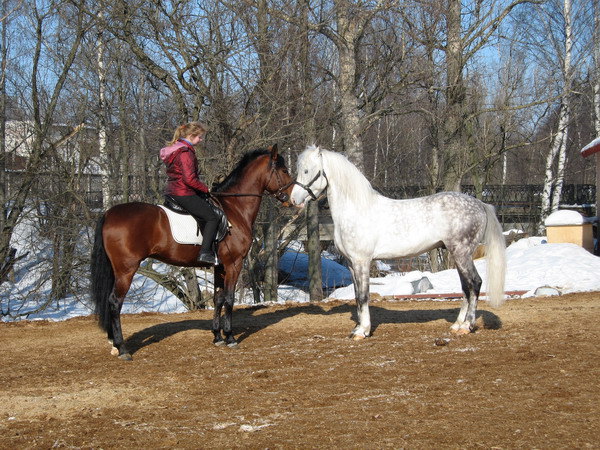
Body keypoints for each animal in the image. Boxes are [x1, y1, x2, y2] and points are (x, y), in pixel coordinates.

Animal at [90, 144, 294, 358]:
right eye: (284, 170)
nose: (290, 198)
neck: (235, 209)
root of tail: (109, 213)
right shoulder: (234, 264)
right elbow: (229, 299)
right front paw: (230, 337)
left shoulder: (219, 266)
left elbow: (218, 298)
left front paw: (217, 336)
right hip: (126, 270)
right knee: (115, 302)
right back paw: (122, 348)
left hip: (117, 270)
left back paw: (114, 343)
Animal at [290, 146, 506, 340]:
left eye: (307, 170)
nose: (293, 200)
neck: (357, 210)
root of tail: (481, 205)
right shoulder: (352, 264)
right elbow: (357, 296)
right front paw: (358, 328)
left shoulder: (362, 262)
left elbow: (364, 295)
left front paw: (363, 331)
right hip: (458, 254)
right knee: (466, 287)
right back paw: (457, 325)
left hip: (462, 252)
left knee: (475, 283)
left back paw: (467, 326)